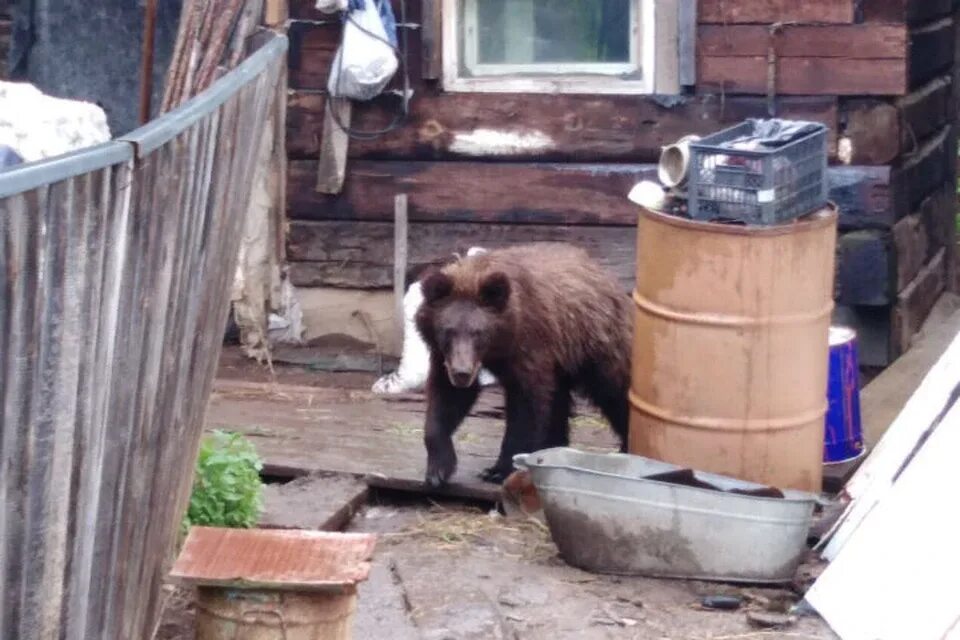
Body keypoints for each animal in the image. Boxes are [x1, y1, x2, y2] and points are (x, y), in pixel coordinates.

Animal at [412, 242, 632, 488]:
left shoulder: (530, 347)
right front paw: (438, 469)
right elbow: (446, 400)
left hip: (596, 343)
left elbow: (526, 407)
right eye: (448, 331)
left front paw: (499, 470)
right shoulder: (444, 356)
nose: (462, 373)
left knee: (615, 391)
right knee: (558, 401)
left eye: (478, 332)